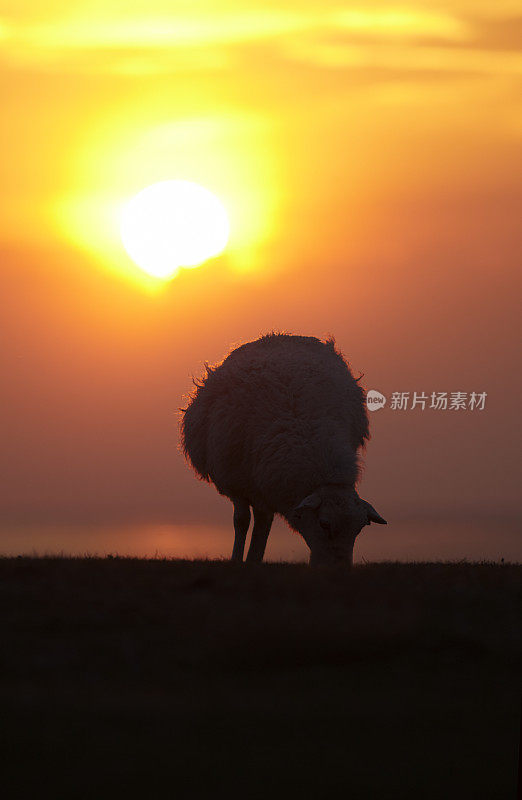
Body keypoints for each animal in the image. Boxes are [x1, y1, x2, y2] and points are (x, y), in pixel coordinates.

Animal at [180, 332, 386, 568]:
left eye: (359, 529)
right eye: (324, 524)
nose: (339, 570)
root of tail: (278, 335)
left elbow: (263, 523)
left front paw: (254, 558)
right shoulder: (236, 482)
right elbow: (241, 521)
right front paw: (236, 559)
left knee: (263, 520)